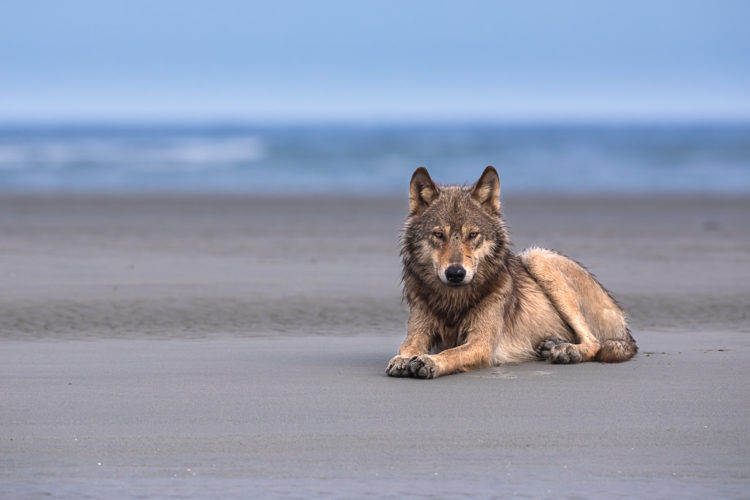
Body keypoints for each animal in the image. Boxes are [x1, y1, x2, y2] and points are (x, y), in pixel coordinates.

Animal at [387, 166, 637, 379]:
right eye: (438, 234)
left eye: (473, 235)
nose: (455, 273)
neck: (453, 301)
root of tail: (624, 326)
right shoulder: (419, 331)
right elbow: (407, 345)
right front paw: (402, 359)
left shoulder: (481, 344)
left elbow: (451, 353)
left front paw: (429, 361)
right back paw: (552, 345)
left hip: (536, 256)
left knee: (595, 342)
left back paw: (566, 351)